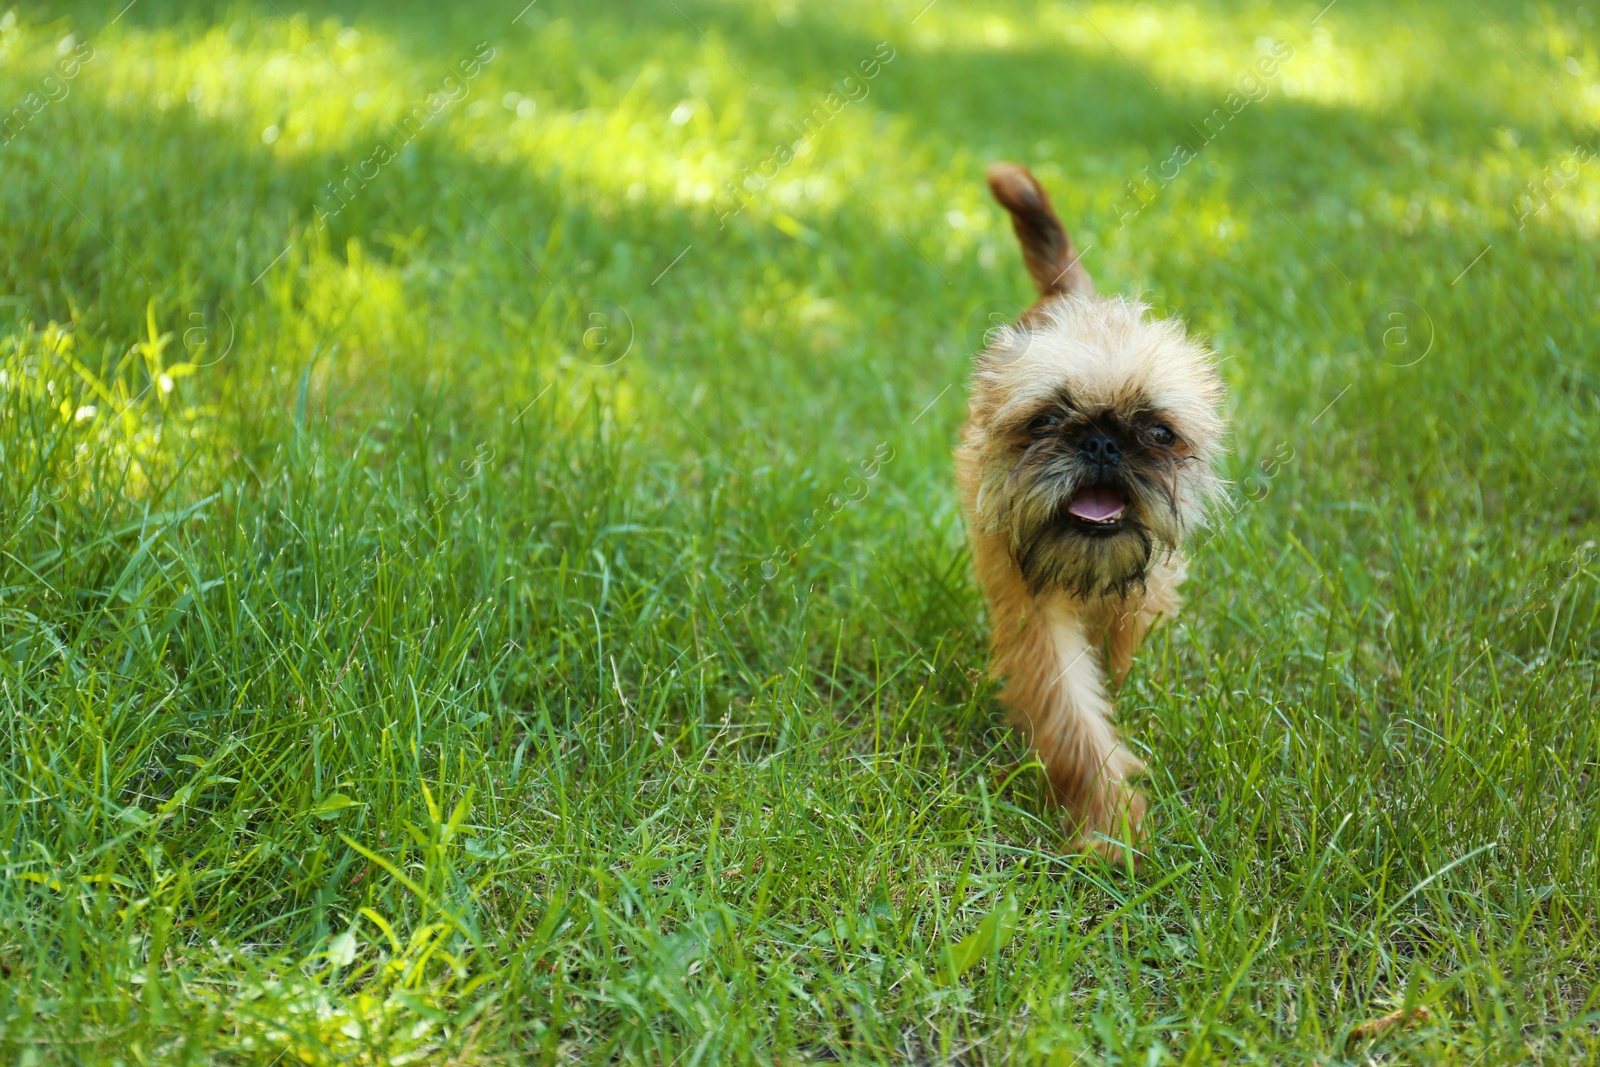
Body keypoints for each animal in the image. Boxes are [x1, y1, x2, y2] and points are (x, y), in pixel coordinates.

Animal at [960, 163, 1222, 857]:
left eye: (1156, 432)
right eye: (1048, 420)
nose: (1102, 442)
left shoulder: (1146, 589)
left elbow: (1122, 642)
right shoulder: (1031, 611)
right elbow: (1073, 717)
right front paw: (1108, 825)